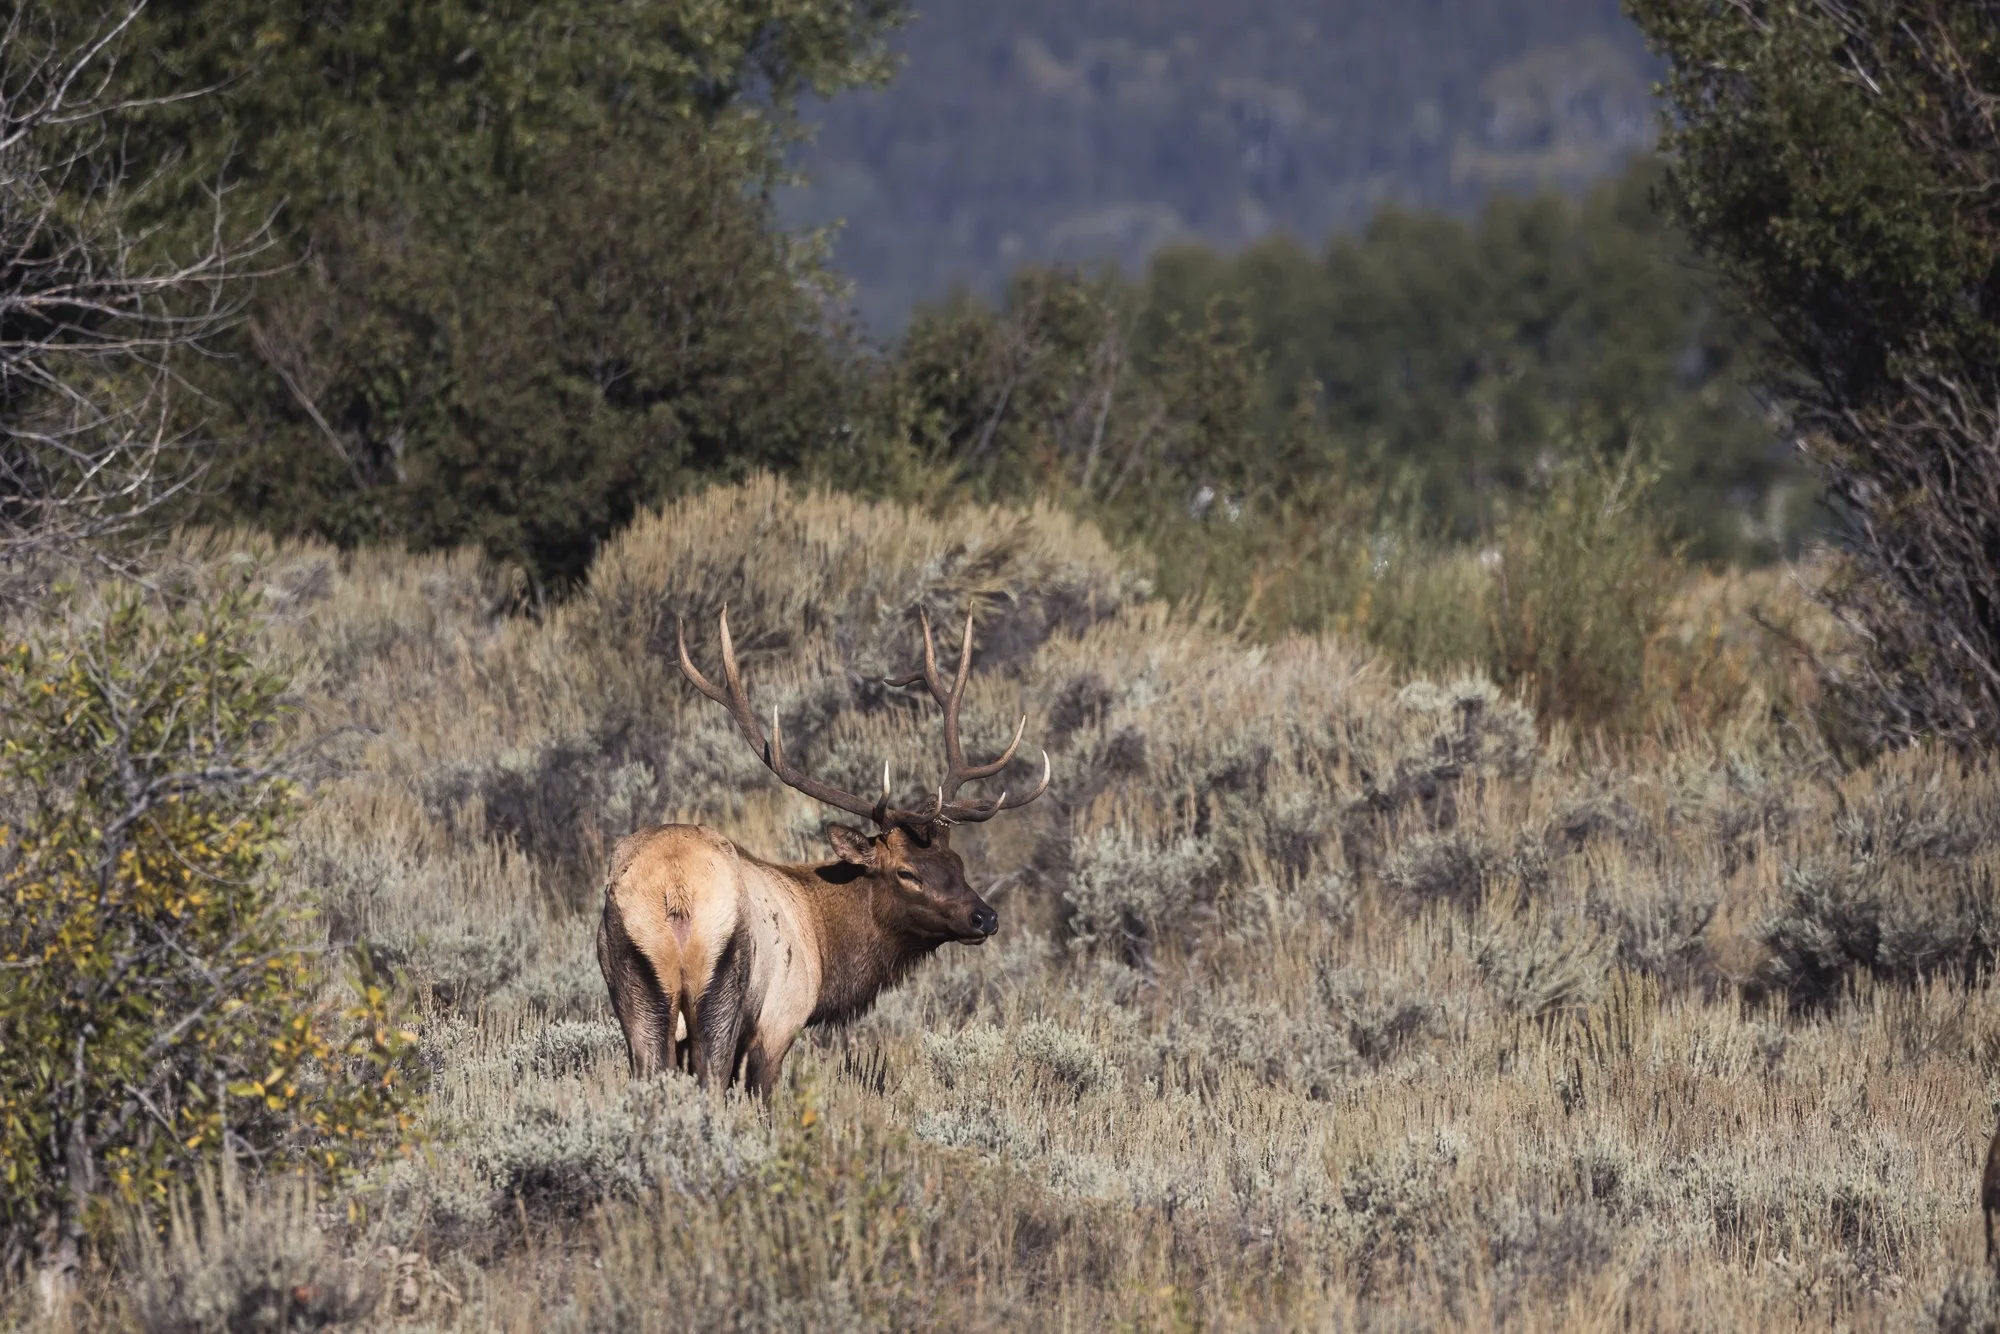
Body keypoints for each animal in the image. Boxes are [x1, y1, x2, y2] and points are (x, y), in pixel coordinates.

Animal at [595, 607, 1050, 1095]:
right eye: (907, 872)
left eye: (957, 863)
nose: (985, 917)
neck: (825, 945)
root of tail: (676, 889)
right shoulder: (780, 1019)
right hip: (722, 992)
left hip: (634, 989)